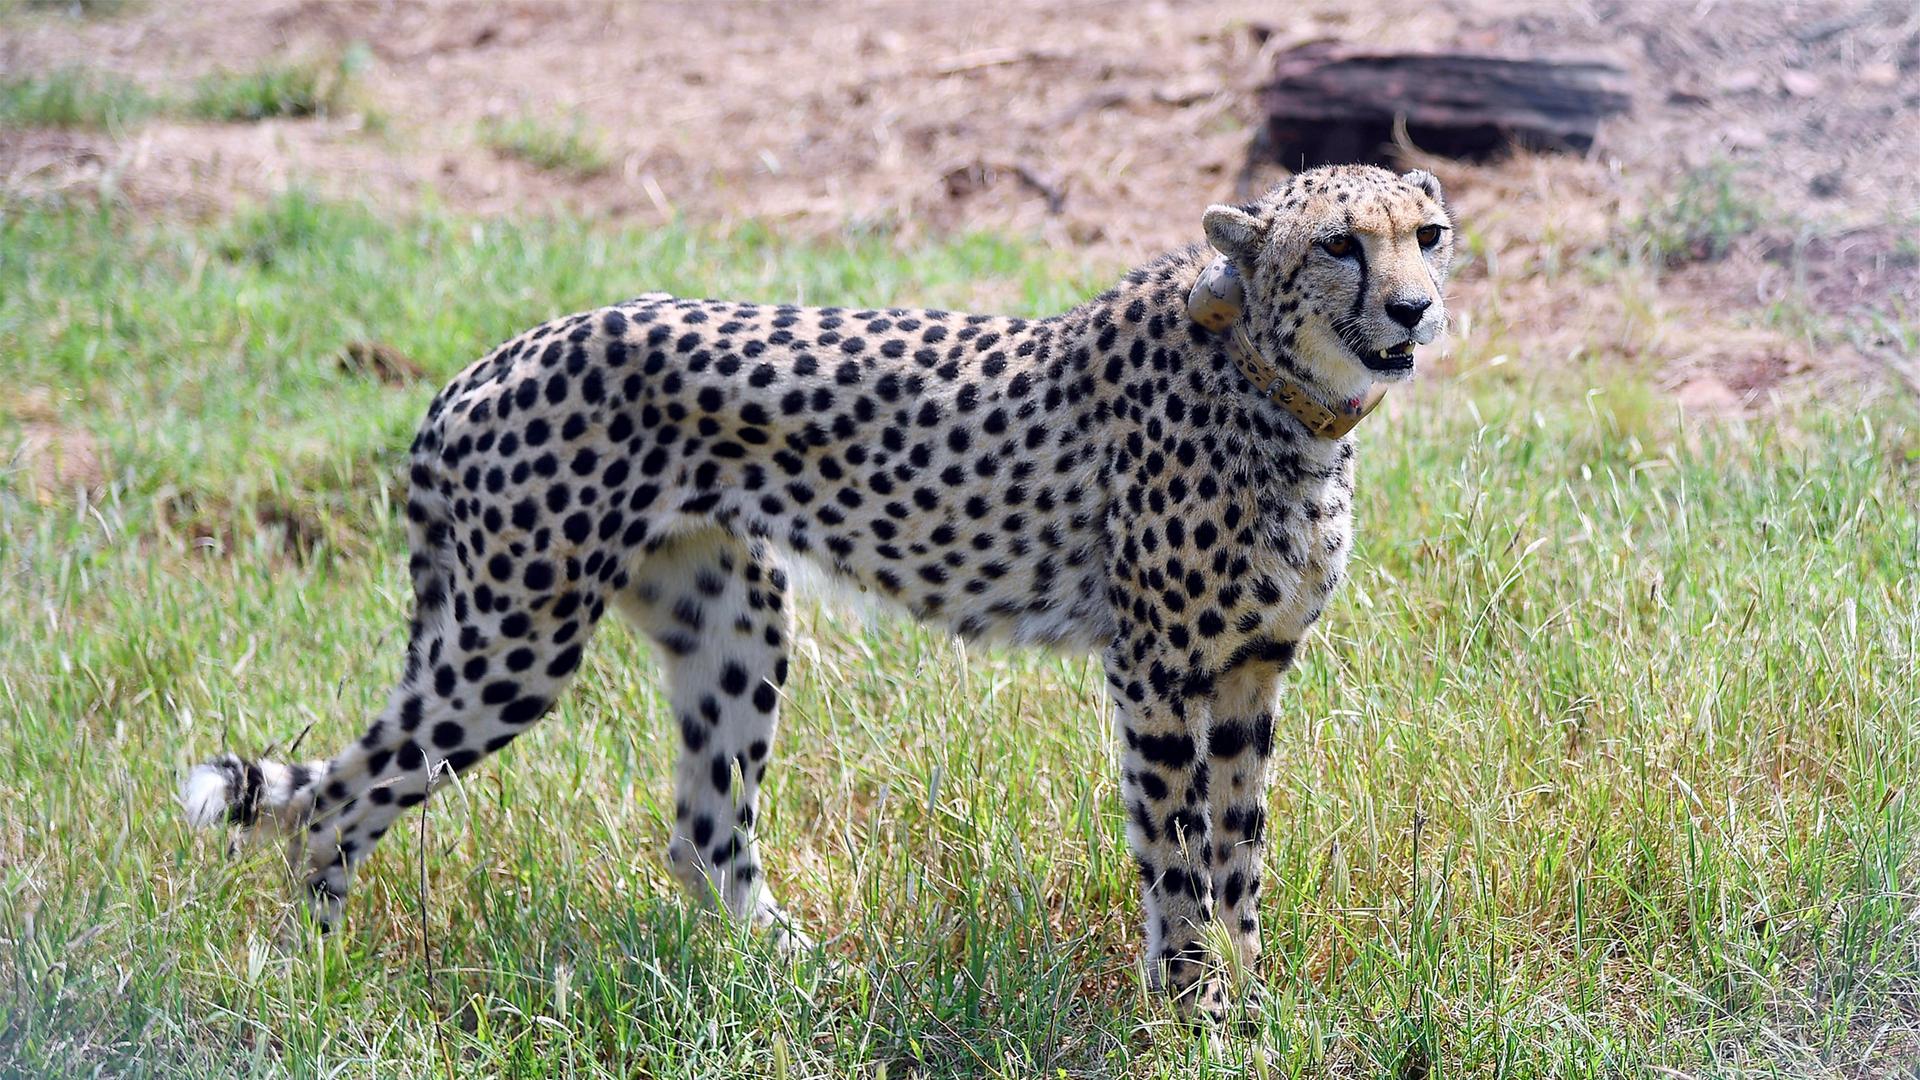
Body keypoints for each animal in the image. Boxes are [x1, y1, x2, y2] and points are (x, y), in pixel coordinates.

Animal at [183, 164, 1451, 1014]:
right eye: (1341, 245)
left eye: (1428, 235)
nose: (1415, 307)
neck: (1280, 389)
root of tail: (489, 362)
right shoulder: (1156, 674)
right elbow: (1178, 858)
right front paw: (1197, 1011)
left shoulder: (1248, 671)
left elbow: (1240, 856)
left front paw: (1253, 1002)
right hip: (515, 639)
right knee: (341, 798)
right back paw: (311, 975)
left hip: (732, 618)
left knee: (704, 832)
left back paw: (803, 979)